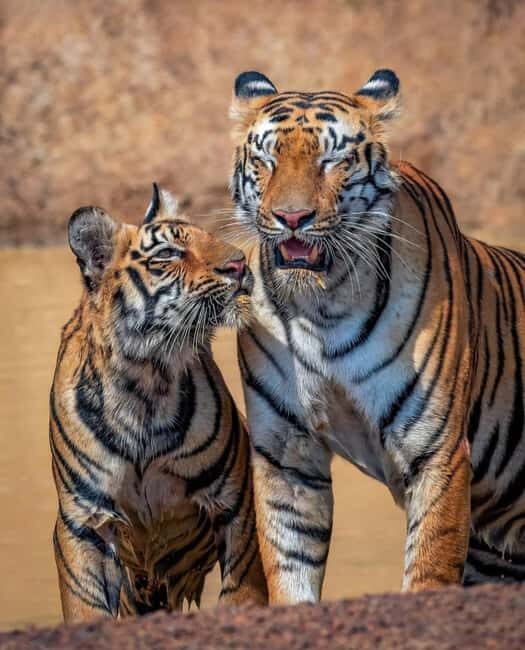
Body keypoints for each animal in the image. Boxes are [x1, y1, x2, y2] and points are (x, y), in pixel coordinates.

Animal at [50, 184, 268, 623]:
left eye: (208, 236)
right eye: (168, 255)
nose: (238, 263)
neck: (145, 381)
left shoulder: (234, 501)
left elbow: (242, 588)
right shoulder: (83, 520)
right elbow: (85, 607)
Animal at [228, 69, 525, 603]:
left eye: (332, 160)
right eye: (267, 161)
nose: (292, 218)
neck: (323, 305)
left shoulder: (437, 451)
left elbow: (428, 568)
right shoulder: (287, 452)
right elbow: (290, 566)